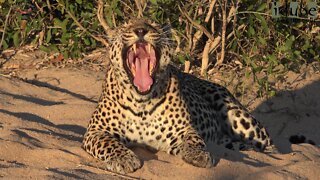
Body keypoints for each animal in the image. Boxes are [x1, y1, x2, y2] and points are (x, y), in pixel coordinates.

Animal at [82, 17, 276, 173]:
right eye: (126, 26)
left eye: (152, 25)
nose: (141, 31)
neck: (141, 101)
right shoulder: (95, 131)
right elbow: (109, 143)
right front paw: (124, 159)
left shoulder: (184, 130)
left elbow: (194, 140)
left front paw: (198, 155)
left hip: (238, 116)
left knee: (269, 145)